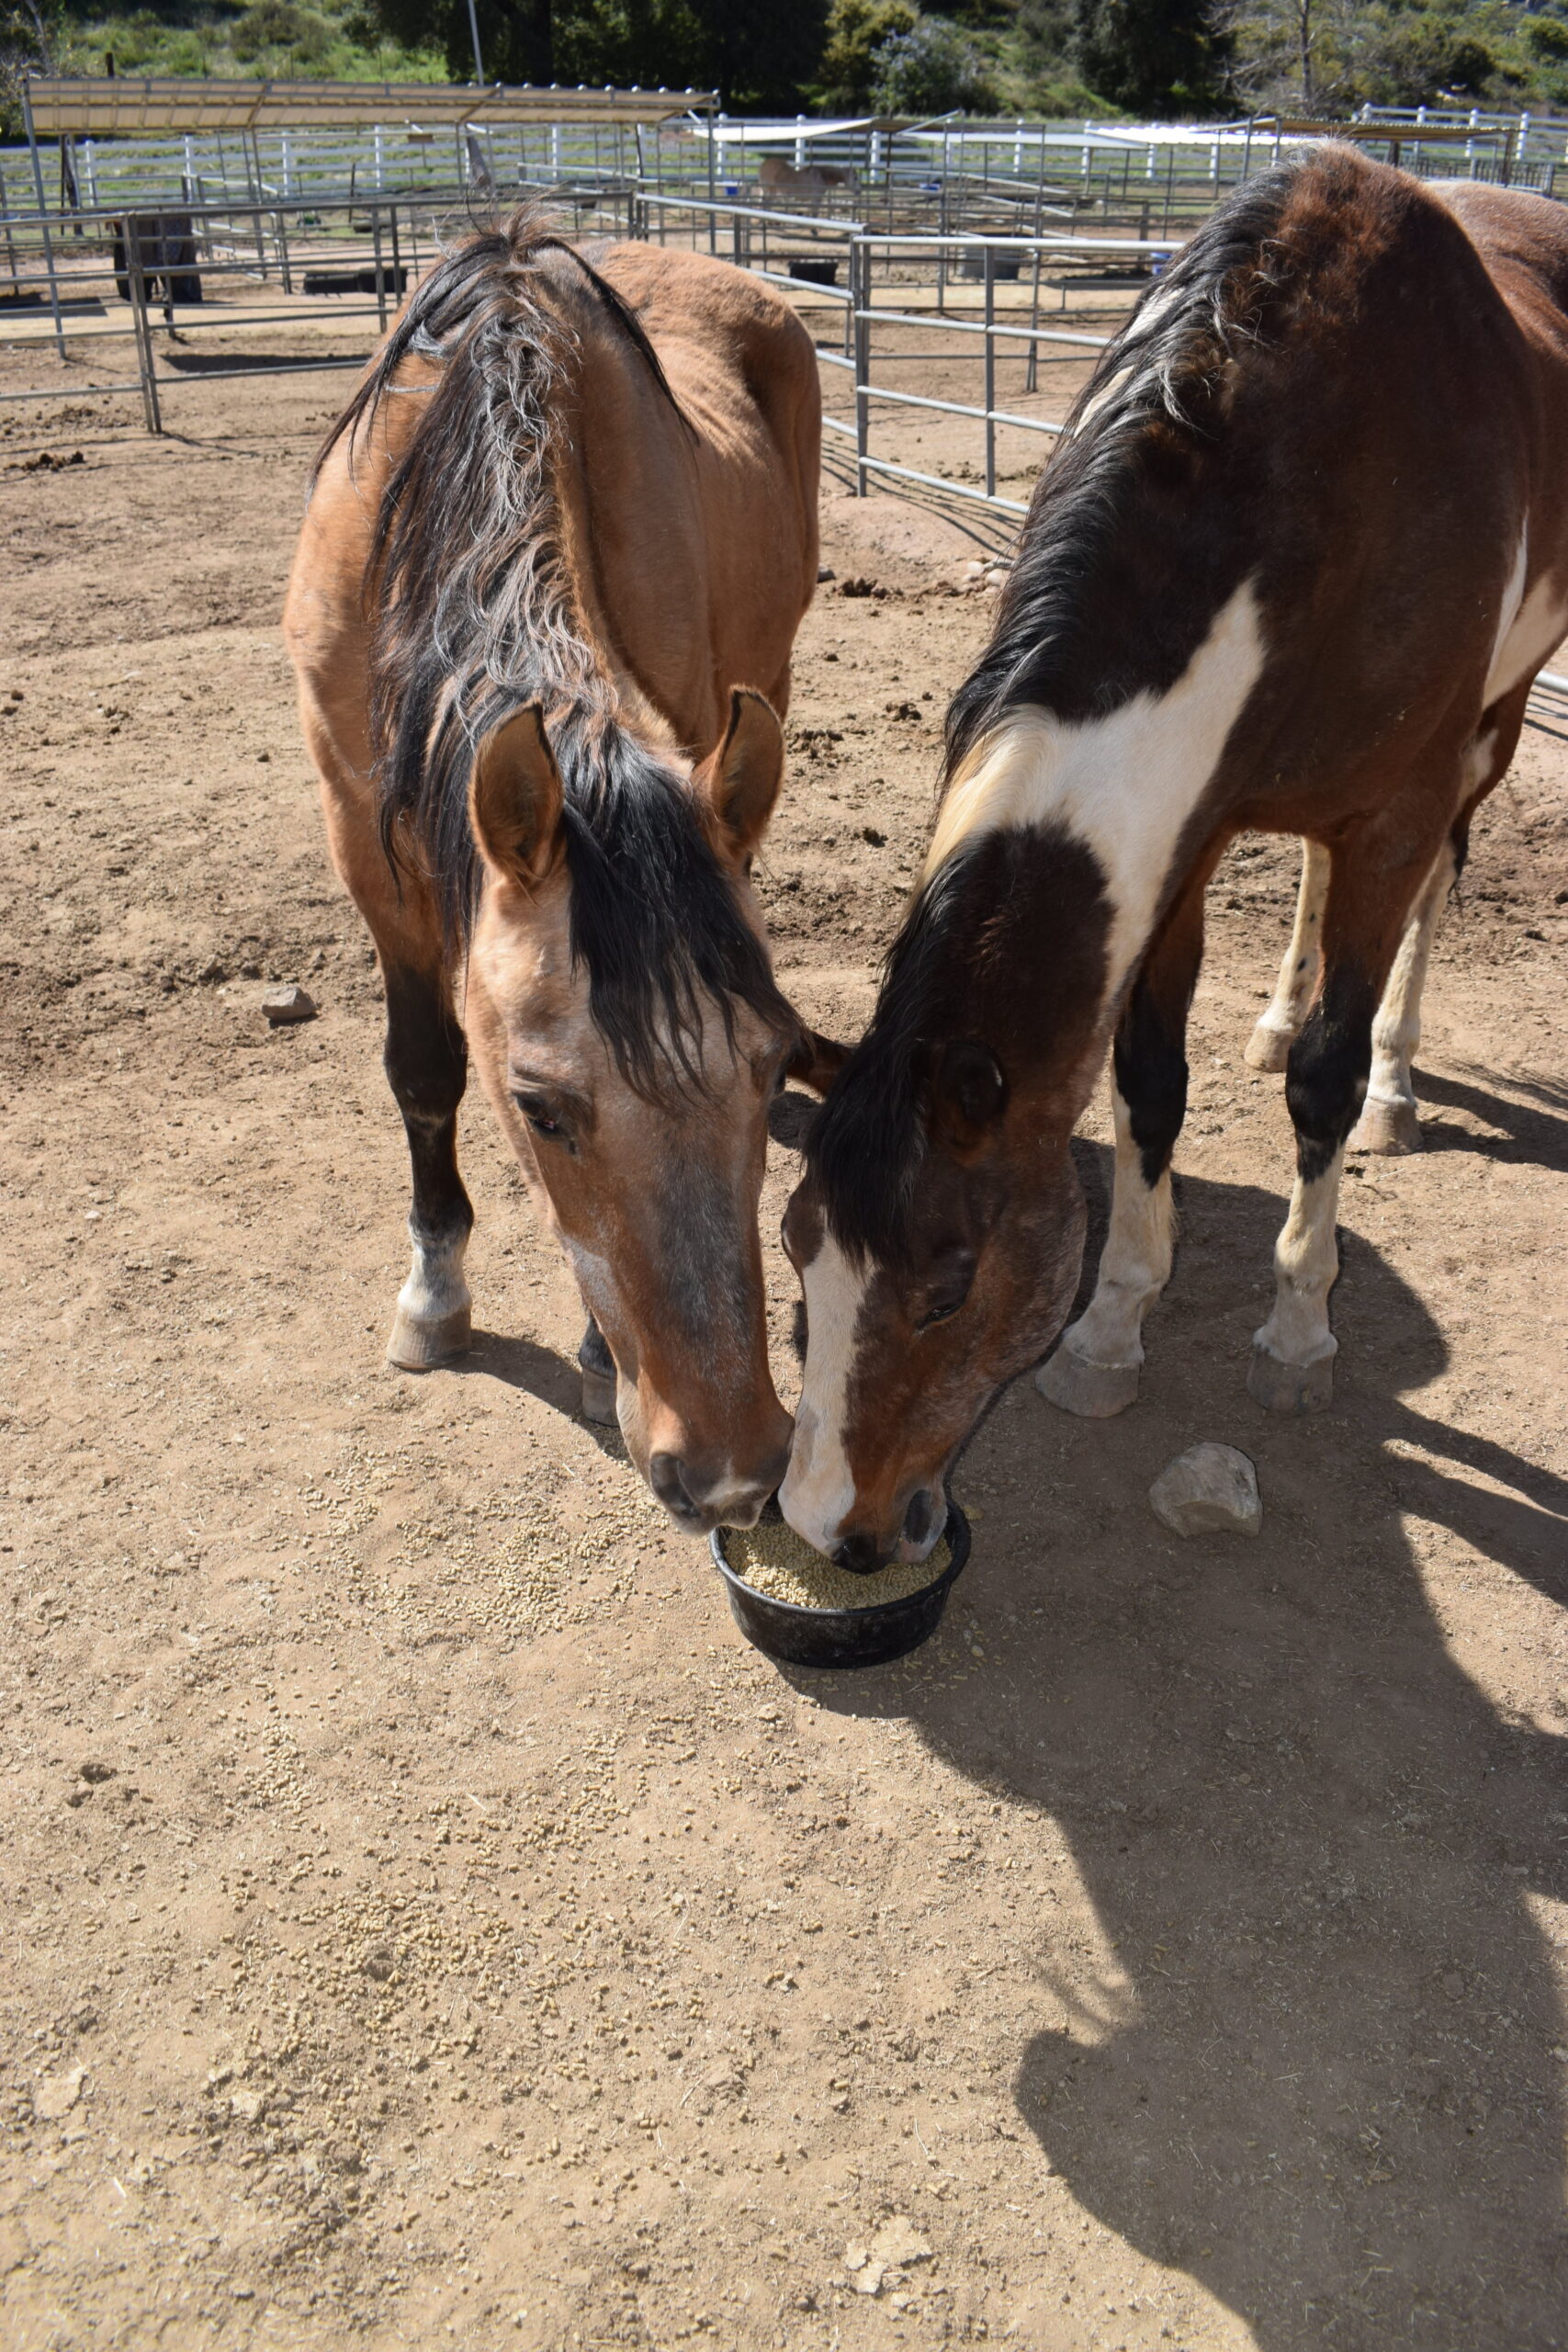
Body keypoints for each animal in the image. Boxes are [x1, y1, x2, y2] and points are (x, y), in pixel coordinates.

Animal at [283, 210, 827, 1536]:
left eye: (771, 1061)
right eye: (538, 1106)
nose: (735, 1472)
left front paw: (588, 1351)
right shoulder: (364, 847)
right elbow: (423, 1070)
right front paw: (433, 1294)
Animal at [779, 146, 1568, 1570]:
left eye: (945, 1291)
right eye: (793, 1248)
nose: (827, 1532)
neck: (1313, 481)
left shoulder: (1392, 808)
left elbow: (1319, 1084)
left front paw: (1299, 1327)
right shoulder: (1180, 839)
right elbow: (1146, 1084)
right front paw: (1108, 1330)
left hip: (1488, 726)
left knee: (1429, 894)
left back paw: (1397, 1083)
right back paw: (1271, 1016)